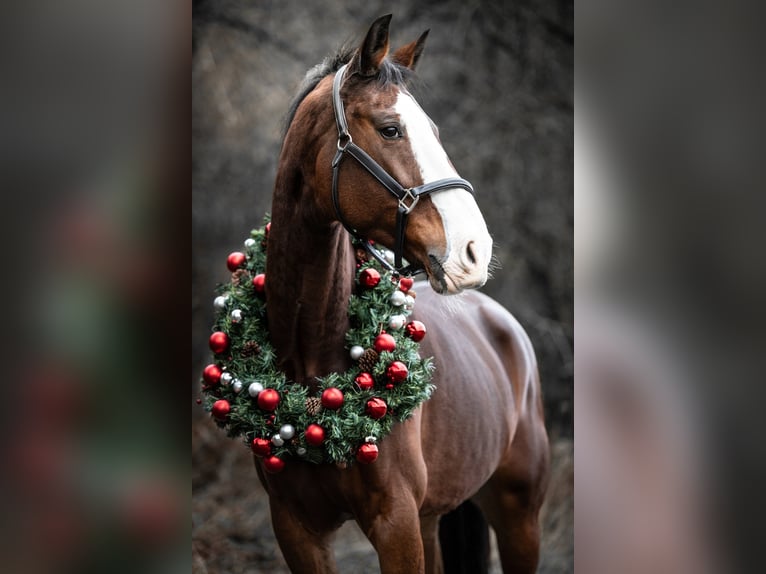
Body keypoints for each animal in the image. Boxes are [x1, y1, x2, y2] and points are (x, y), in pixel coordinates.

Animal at [258, 14, 549, 574]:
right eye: (390, 128)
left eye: (433, 131)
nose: (475, 250)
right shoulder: (296, 528)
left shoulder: (395, 524)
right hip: (433, 519)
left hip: (519, 518)